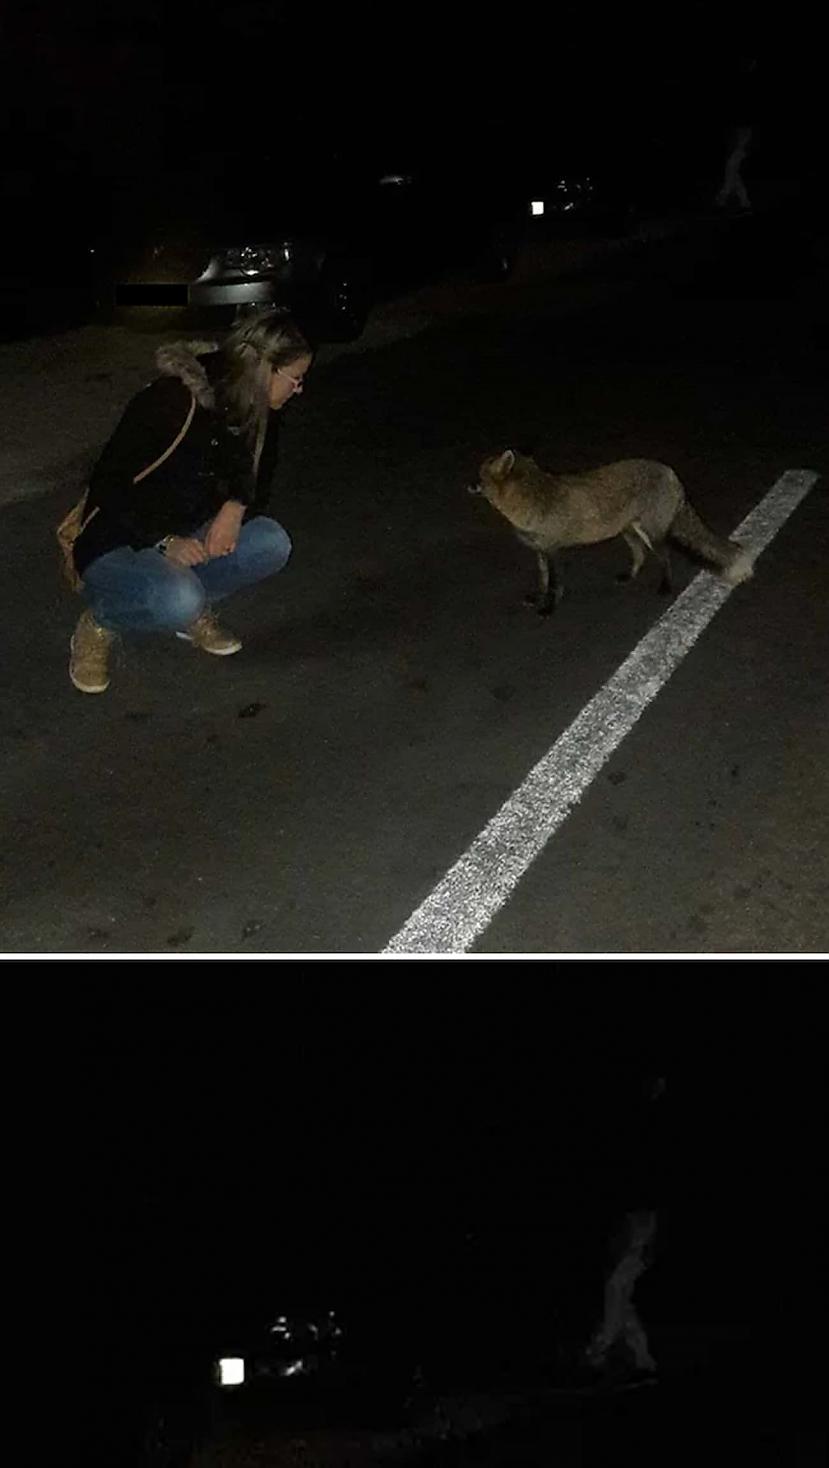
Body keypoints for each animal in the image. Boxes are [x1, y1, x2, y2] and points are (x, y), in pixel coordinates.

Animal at [469, 446, 751, 607]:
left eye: (480, 475)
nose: (467, 484)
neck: (533, 500)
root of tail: (670, 472)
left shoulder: (553, 550)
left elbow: (555, 584)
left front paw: (548, 607)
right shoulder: (540, 550)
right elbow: (542, 579)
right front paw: (538, 598)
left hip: (652, 534)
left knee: (664, 556)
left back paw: (665, 587)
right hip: (629, 532)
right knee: (640, 555)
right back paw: (629, 576)